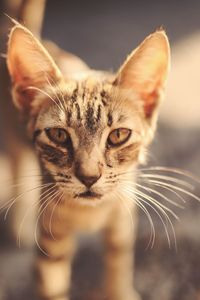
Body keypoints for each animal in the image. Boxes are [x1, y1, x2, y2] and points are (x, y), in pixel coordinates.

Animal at [6, 22, 170, 300]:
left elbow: (119, 263)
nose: (89, 177)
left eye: (118, 135)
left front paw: (120, 291)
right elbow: (52, 286)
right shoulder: (50, 241)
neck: (91, 214)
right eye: (59, 135)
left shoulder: (122, 219)